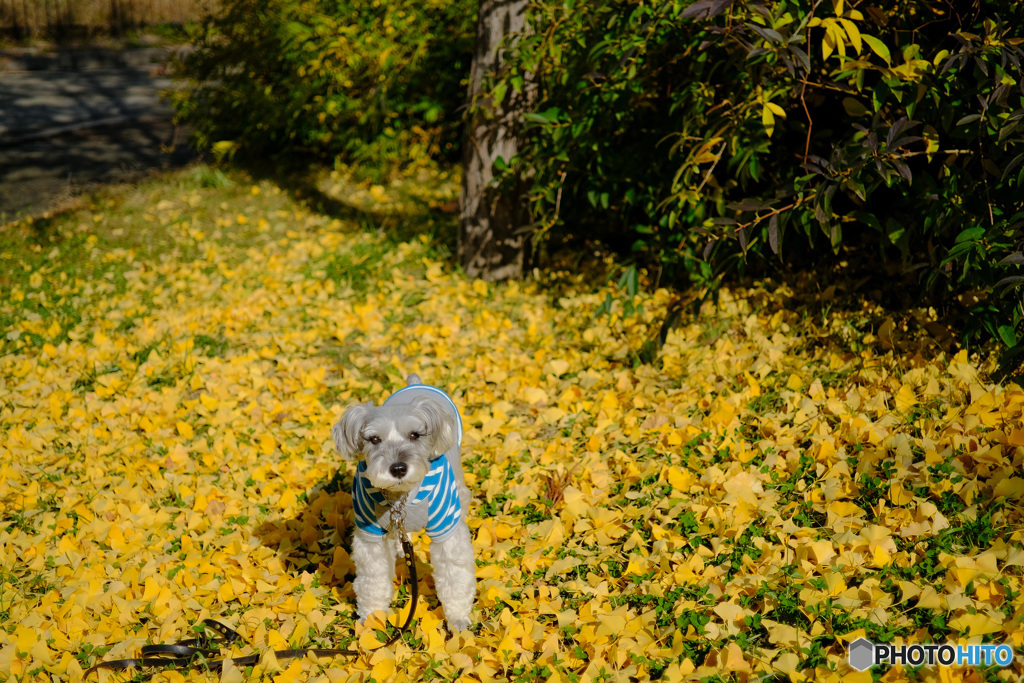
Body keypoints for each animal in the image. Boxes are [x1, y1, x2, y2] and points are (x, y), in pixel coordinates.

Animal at [331, 374, 475, 630]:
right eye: (374, 439)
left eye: (415, 435)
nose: (398, 468)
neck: (400, 498)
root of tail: (414, 383)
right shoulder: (370, 536)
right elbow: (373, 579)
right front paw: (372, 617)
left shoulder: (447, 531)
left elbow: (454, 576)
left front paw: (457, 618)